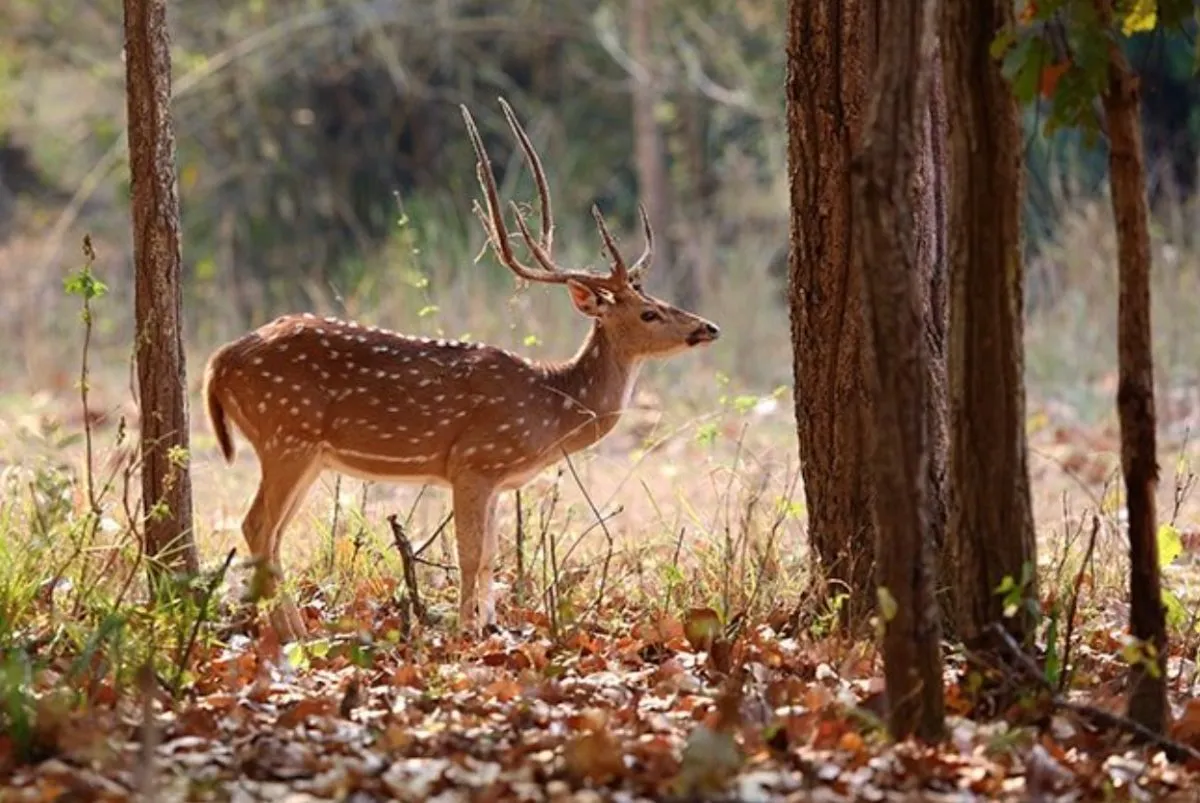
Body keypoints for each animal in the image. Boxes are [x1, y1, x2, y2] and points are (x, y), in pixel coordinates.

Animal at [202, 98, 720, 641]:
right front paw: (463, 636)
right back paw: (292, 634)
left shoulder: (494, 478)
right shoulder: (475, 459)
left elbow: (491, 557)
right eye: (649, 313)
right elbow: (472, 555)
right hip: (285, 431)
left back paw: (295, 632)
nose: (707, 327)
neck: (549, 408)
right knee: (257, 525)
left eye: (658, 302)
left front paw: (486, 627)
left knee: (273, 531)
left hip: (305, 450)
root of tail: (220, 360)